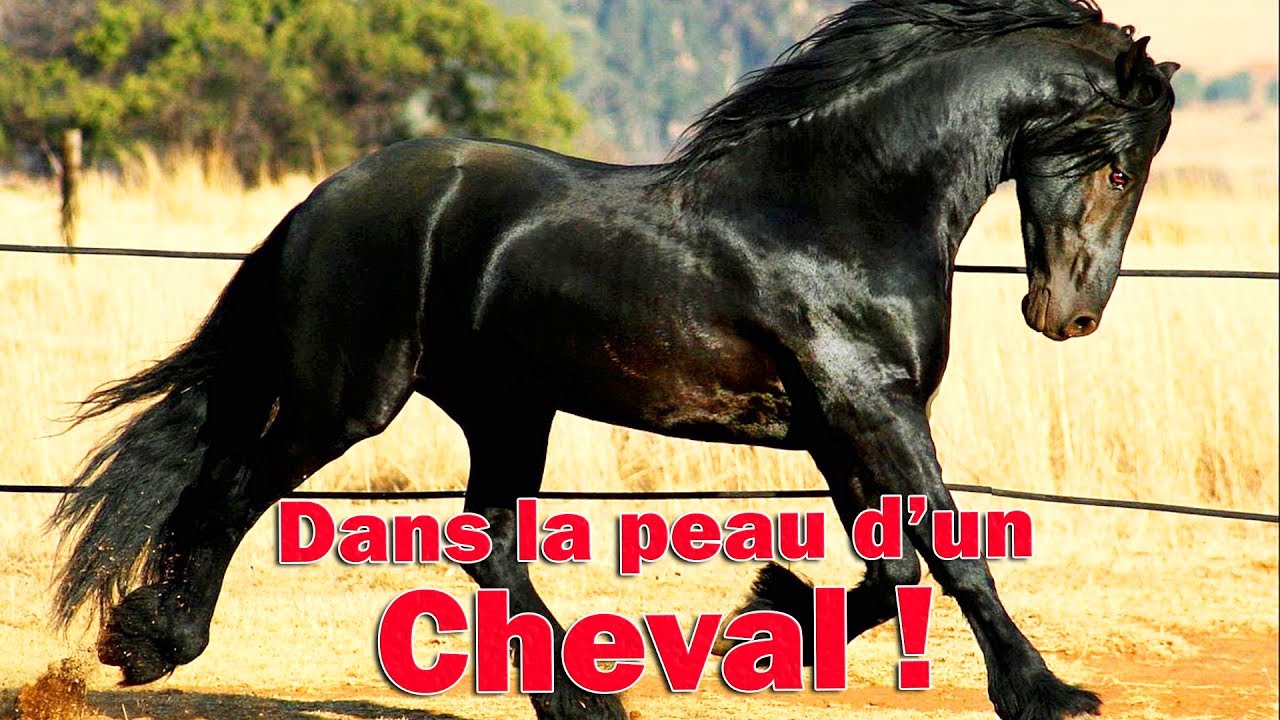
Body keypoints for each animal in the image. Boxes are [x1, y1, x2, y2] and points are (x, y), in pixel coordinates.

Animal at [50, 1, 1177, 718]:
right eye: (1117, 165)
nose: (1069, 315)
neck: (838, 207)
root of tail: (323, 200)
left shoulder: (838, 424)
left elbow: (894, 563)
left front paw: (761, 617)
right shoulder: (870, 407)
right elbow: (949, 549)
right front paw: (1046, 694)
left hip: (508, 408)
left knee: (485, 544)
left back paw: (584, 703)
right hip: (350, 397)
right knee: (234, 485)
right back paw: (147, 643)